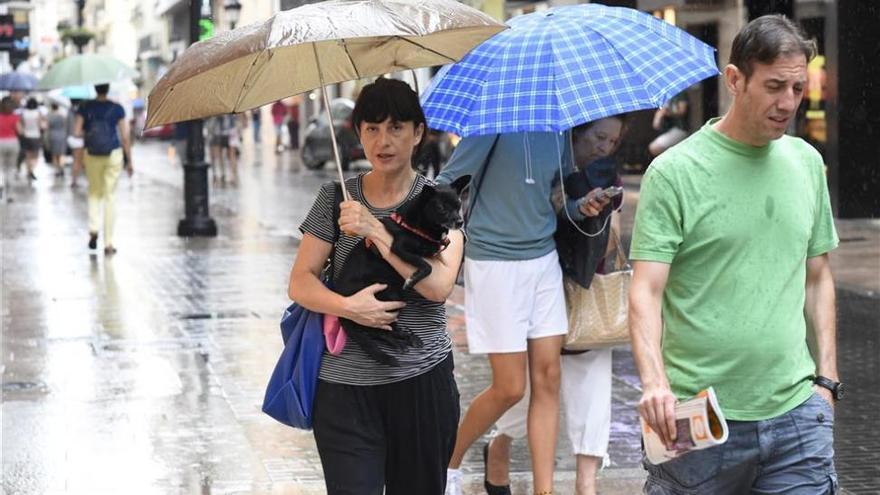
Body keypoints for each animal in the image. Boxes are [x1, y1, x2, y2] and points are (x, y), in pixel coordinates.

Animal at [334, 179, 468, 368]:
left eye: (459, 205)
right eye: (442, 208)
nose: (460, 222)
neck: (415, 225)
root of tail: (343, 315)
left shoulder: (436, 251)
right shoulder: (398, 249)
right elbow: (427, 266)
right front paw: (412, 279)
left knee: (387, 327)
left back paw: (407, 337)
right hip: (387, 296)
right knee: (376, 331)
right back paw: (398, 343)